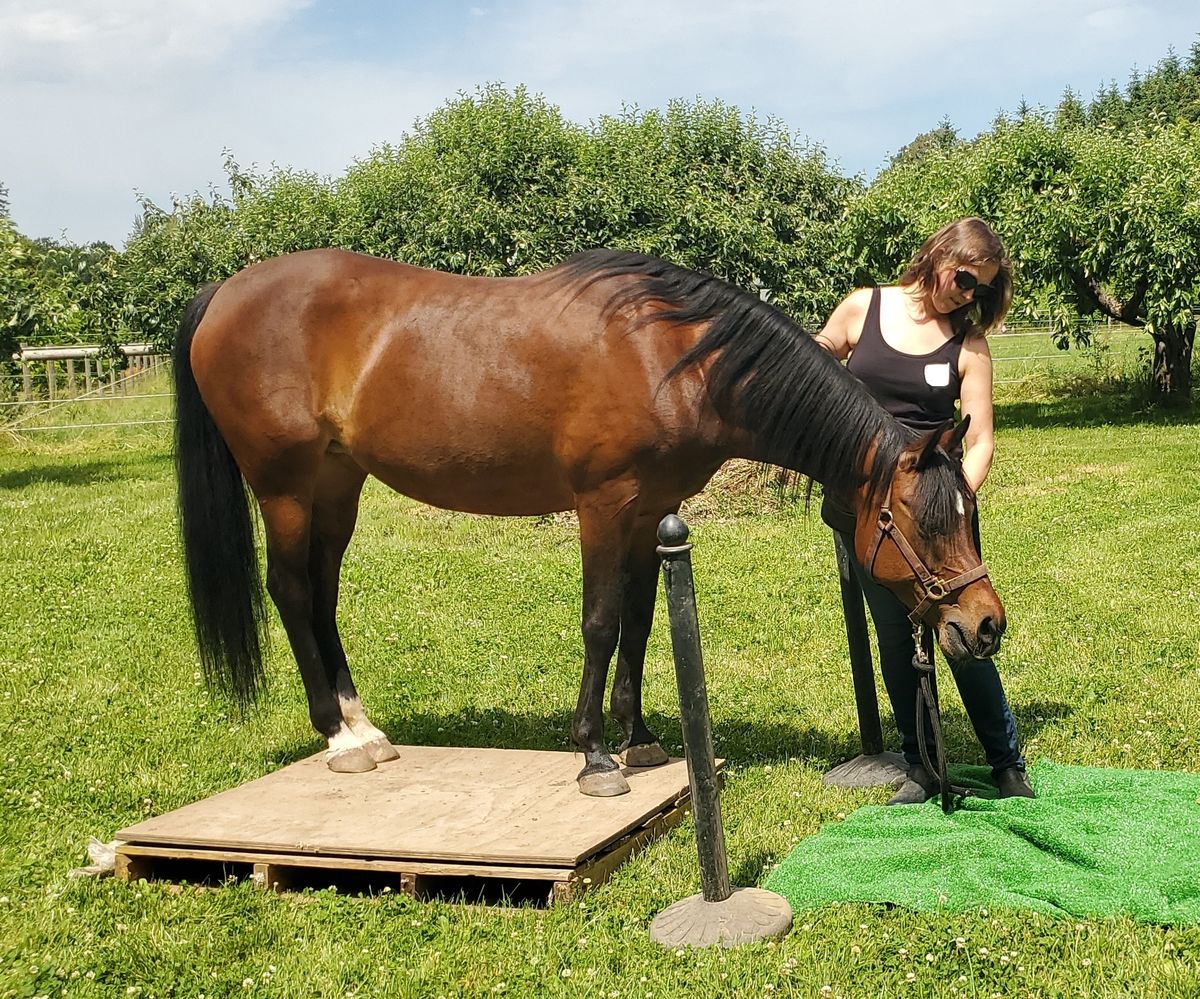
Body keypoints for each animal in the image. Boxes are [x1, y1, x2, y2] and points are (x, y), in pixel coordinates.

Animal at [175, 249, 1003, 797]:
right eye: (916, 521)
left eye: (970, 514)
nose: (986, 623)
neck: (674, 357)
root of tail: (224, 290)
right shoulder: (604, 505)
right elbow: (601, 623)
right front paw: (595, 755)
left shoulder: (648, 514)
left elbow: (638, 624)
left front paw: (638, 741)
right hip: (284, 485)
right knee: (289, 590)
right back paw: (339, 736)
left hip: (337, 482)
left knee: (322, 593)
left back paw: (365, 727)